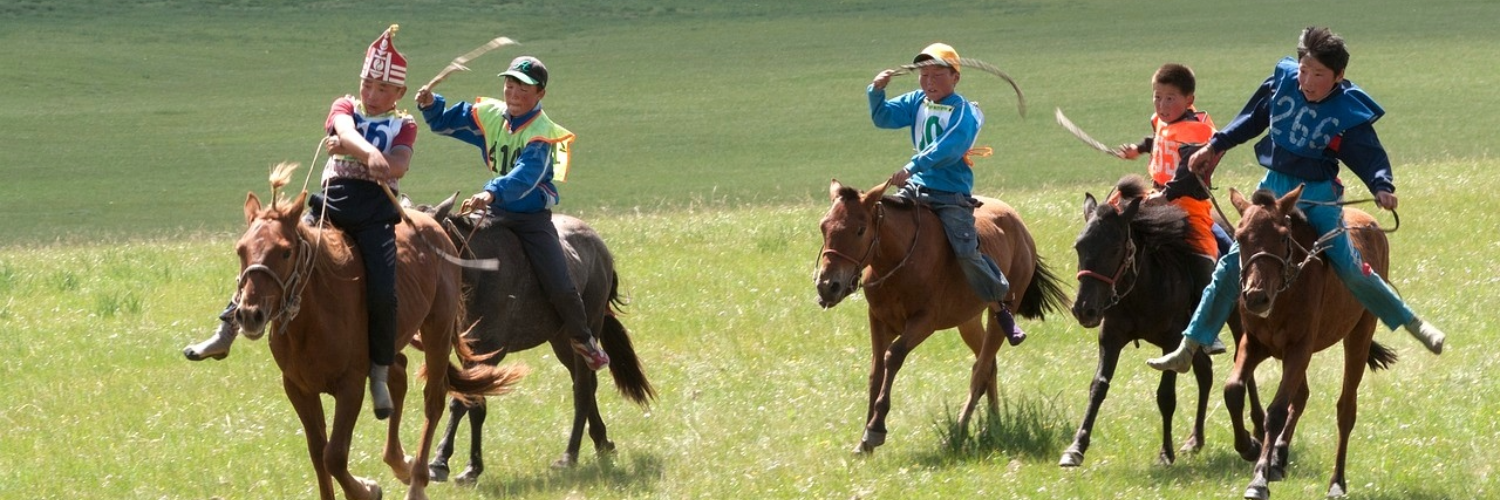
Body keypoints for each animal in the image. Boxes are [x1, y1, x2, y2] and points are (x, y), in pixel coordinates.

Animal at [231, 167, 531, 498]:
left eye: (284, 252)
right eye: (241, 250)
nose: (250, 314)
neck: (314, 317)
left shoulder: (350, 386)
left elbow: (334, 456)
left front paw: (367, 489)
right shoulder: (298, 388)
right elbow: (317, 453)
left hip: (437, 329)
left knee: (434, 397)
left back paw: (418, 479)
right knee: (398, 373)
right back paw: (400, 462)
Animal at [420, 192, 660, 480]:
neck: (478, 274)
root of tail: (600, 246)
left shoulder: (489, 352)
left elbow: (466, 402)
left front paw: (451, 464)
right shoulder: (469, 353)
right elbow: (472, 402)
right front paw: (456, 463)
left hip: (586, 329)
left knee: (582, 388)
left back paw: (570, 455)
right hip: (562, 341)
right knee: (587, 385)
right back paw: (602, 442)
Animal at [816, 177, 1074, 450]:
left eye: (860, 229)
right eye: (824, 227)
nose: (827, 285)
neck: (901, 260)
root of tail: (1021, 228)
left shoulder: (924, 322)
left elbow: (892, 356)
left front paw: (875, 429)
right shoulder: (878, 320)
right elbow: (876, 372)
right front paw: (864, 440)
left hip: (1002, 311)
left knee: (981, 368)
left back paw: (958, 431)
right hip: (968, 321)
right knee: (989, 365)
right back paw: (994, 425)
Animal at [1062, 173, 1260, 465]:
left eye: (1114, 248)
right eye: (1079, 246)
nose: (1084, 309)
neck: (1141, 285)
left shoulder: (1171, 340)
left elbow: (1166, 396)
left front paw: (1166, 452)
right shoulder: (1110, 337)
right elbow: (1098, 387)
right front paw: (1076, 447)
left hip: (1235, 319)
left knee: (1243, 364)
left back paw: (1258, 426)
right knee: (1205, 373)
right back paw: (1195, 439)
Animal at [1224, 186, 1398, 498]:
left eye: (1283, 236)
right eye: (1240, 236)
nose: (1256, 297)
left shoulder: (1299, 349)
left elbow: (1277, 411)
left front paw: (1259, 479)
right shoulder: (1255, 344)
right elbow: (1233, 390)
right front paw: (1250, 447)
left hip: (1359, 334)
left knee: (1345, 409)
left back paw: (1336, 482)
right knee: (1302, 396)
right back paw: (1278, 457)